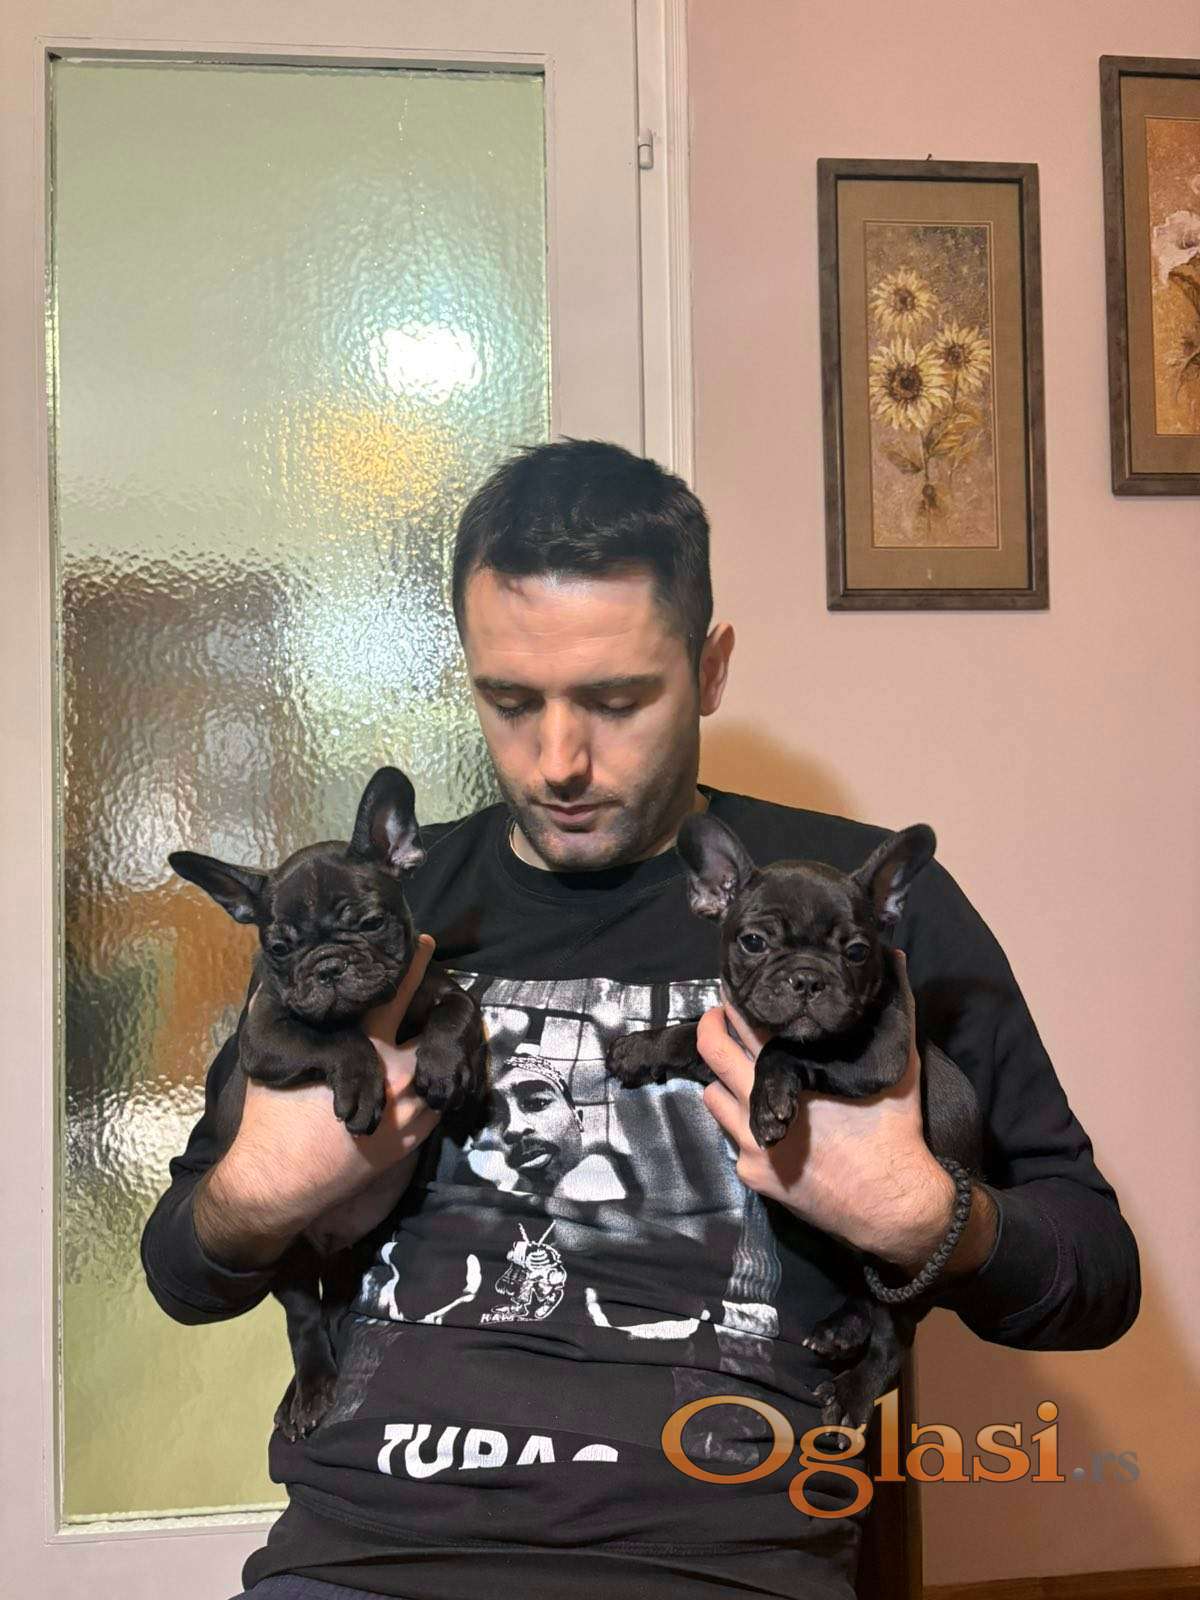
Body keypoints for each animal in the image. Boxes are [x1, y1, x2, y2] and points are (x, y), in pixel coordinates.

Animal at [169, 765, 487, 1439]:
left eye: (369, 923)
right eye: (279, 948)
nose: (329, 966)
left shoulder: (433, 984)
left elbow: (458, 1008)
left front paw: (449, 1067)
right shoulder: (266, 1034)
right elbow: (335, 1037)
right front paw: (363, 1082)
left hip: (362, 1242)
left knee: (340, 1297)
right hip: (285, 1262)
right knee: (305, 1320)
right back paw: (311, 1388)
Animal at [605, 812, 982, 1438]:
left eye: (857, 951)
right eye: (754, 941)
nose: (807, 979)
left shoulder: (876, 1055)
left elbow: (784, 1047)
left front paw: (769, 1101)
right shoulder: (729, 1039)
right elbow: (696, 1028)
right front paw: (642, 1048)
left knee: (893, 1339)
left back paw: (853, 1390)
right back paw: (840, 1329)